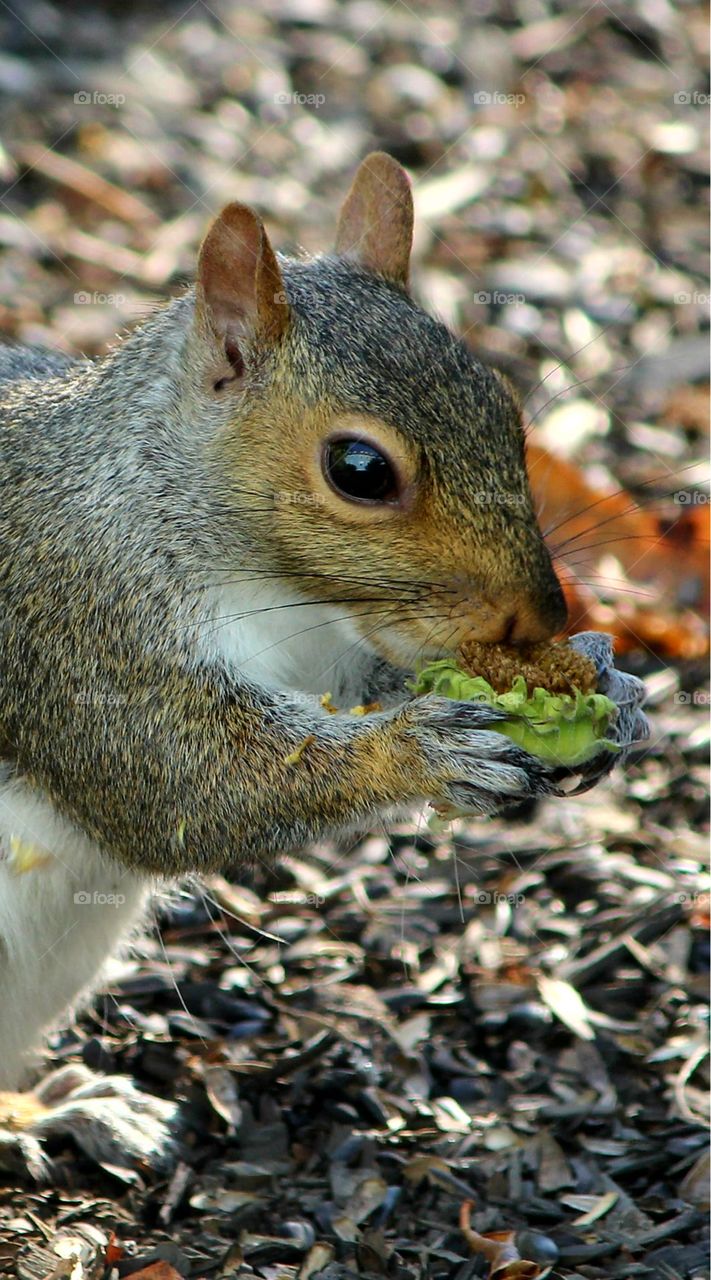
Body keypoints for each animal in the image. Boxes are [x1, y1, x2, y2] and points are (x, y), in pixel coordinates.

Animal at [0, 152, 570, 1168]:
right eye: (359, 470)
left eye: (505, 410)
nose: (544, 615)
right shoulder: (79, 627)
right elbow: (191, 789)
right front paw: (425, 752)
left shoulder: (330, 655)